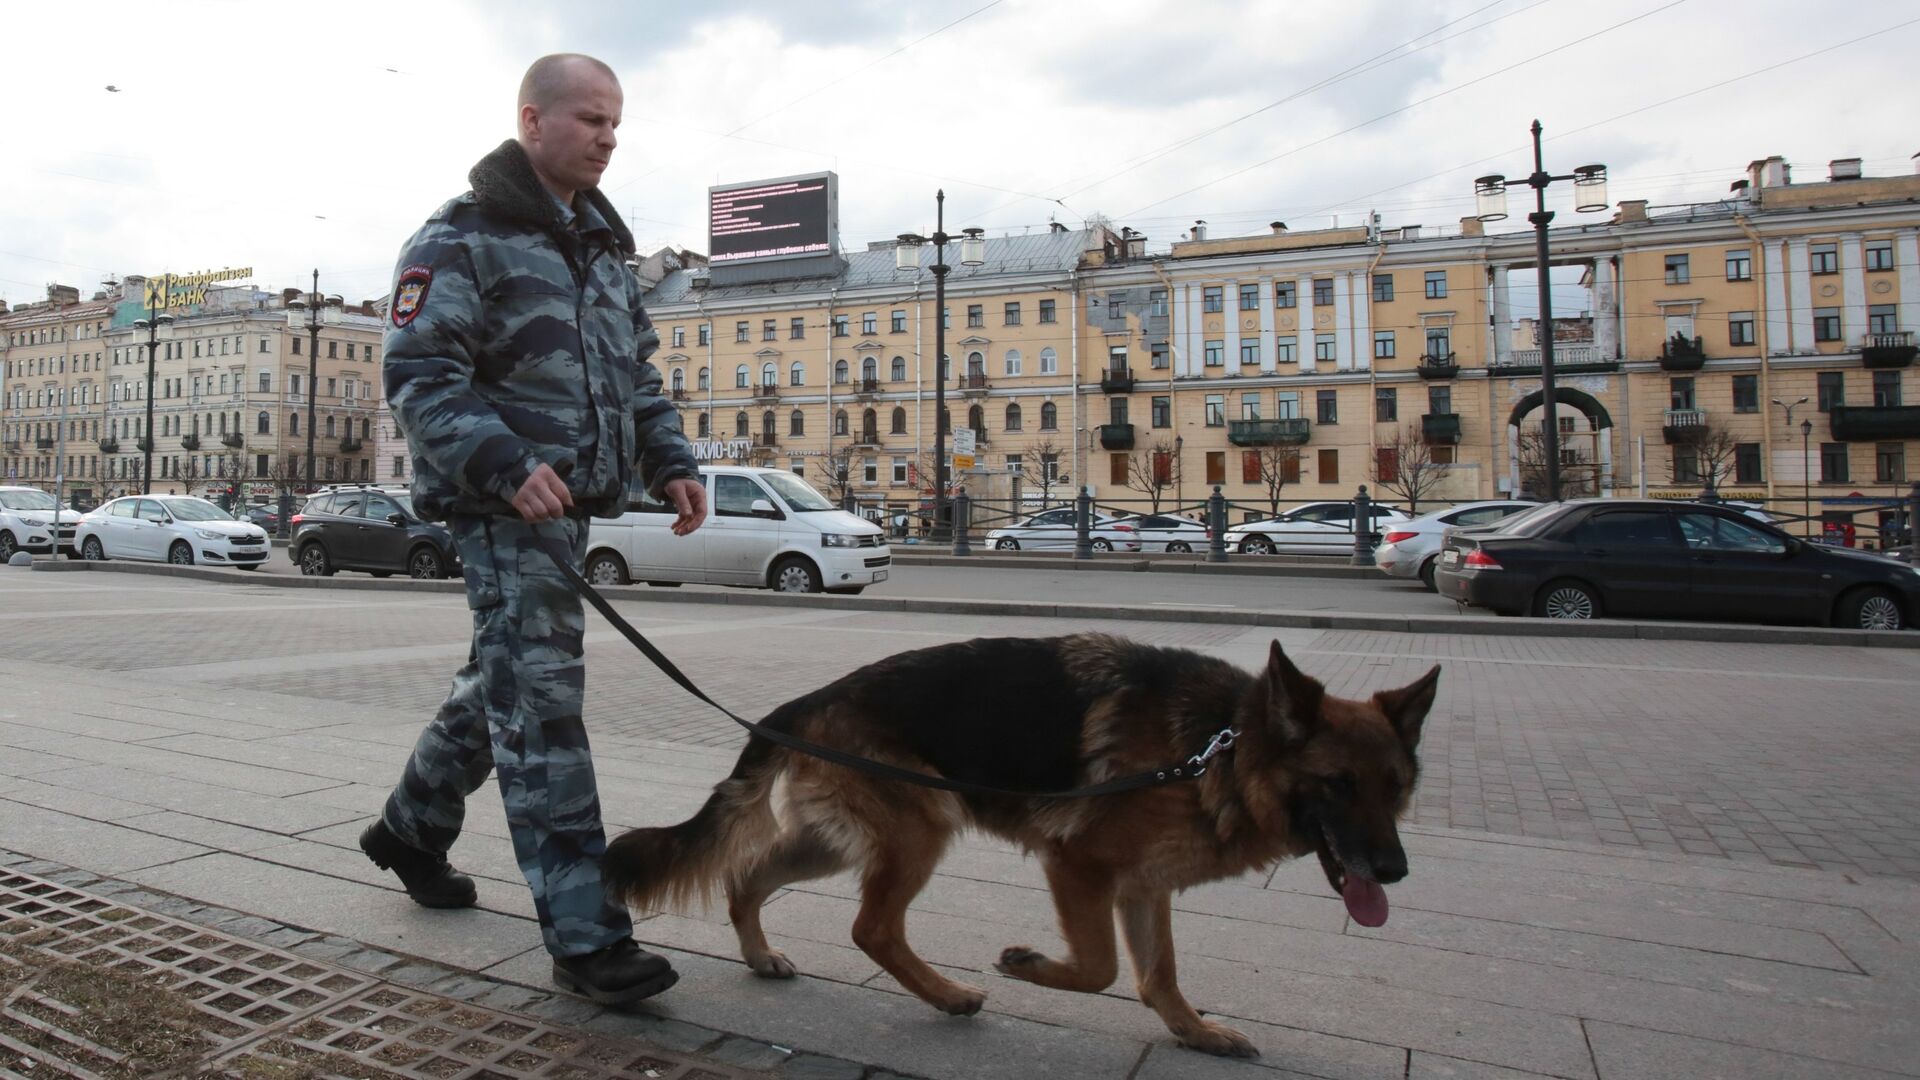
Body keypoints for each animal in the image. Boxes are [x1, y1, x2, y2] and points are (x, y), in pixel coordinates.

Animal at [606, 630, 1436, 1053]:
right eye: (1338, 785)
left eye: (1397, 788)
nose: (1395, 871)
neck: (1223, 747)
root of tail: (812, 696)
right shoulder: (1078, 864)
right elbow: (1102, 970)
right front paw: (1029, 966)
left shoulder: (1144, 885)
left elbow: (1157, 974)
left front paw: (1193, 1032)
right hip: (918, 833)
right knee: (872, 928)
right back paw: (946, 994)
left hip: (841, 841)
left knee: (746, 876)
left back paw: (760, 955)